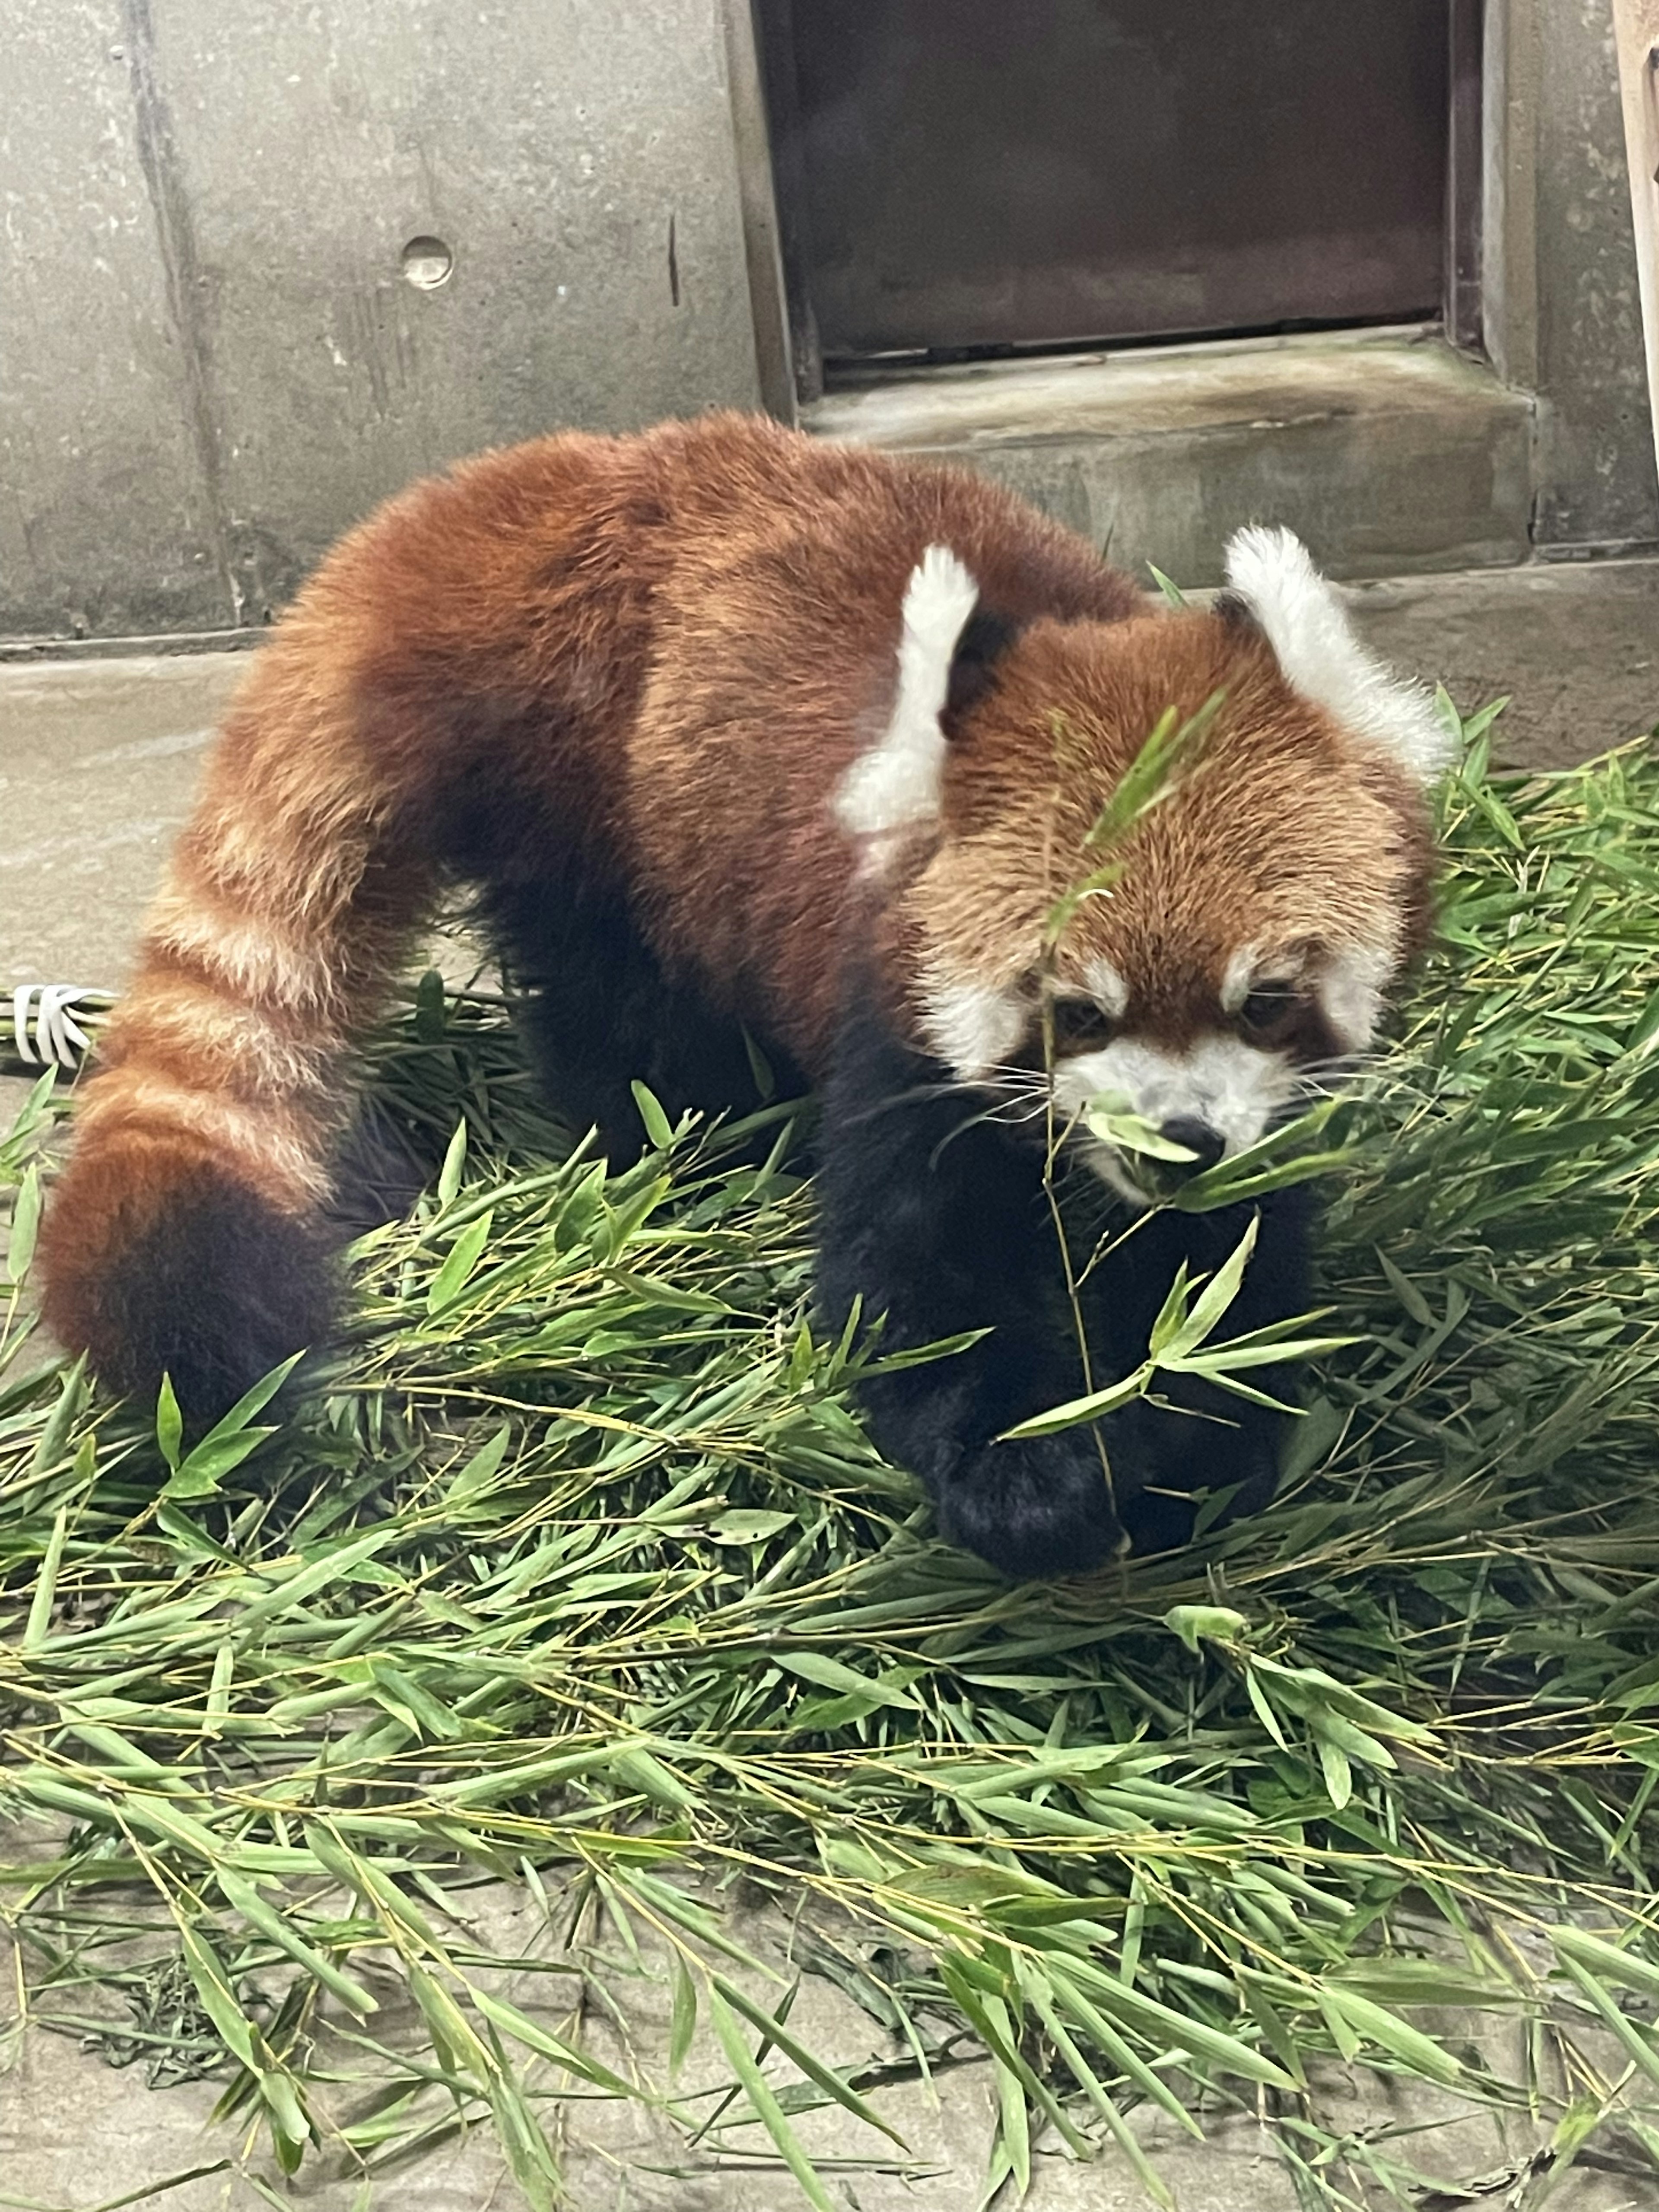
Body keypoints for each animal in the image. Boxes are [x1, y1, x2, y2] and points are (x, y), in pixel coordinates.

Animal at [35, 416, 1442, 1583]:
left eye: (1264, 1000)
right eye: (1074, 1012)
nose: (1177, 1139)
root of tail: (530, 492)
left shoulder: (1262, 1124)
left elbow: (1228, 1276)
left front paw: (1186, 1445)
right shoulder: (895, 1019)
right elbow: (910, 1291)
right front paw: (1026, 1480)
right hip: (587, 810)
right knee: (623, 1015)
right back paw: (686, 1148)